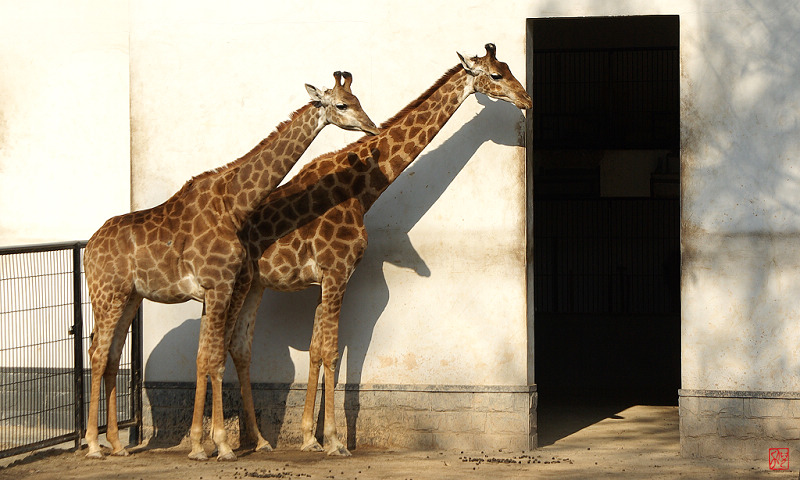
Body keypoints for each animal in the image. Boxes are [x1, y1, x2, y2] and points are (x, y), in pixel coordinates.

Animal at [81, 72, 378, 462]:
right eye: (342, 105)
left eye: (359, 100)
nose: (371, 127)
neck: (234, 204)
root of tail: (87, 249)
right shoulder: (220, 285)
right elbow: (214, 359)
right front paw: (219, 446)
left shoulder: (219, 289)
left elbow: (207, 357)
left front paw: (203, 444)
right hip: (107, 293)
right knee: (97, 354)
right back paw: (92, 445)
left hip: (130, 297)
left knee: (113, 355)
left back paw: (116, 444)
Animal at [228, 44, 536, 454]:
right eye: (497, 75)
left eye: (509, 67)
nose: (527, 99)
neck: (363, 190)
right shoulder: (337, 273)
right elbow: (331, 352)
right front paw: (335, 442)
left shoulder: (325, 281)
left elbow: (316, 350)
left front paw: (309, 437)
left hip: (252, 286)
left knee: (234, 347)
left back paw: (251, 441)